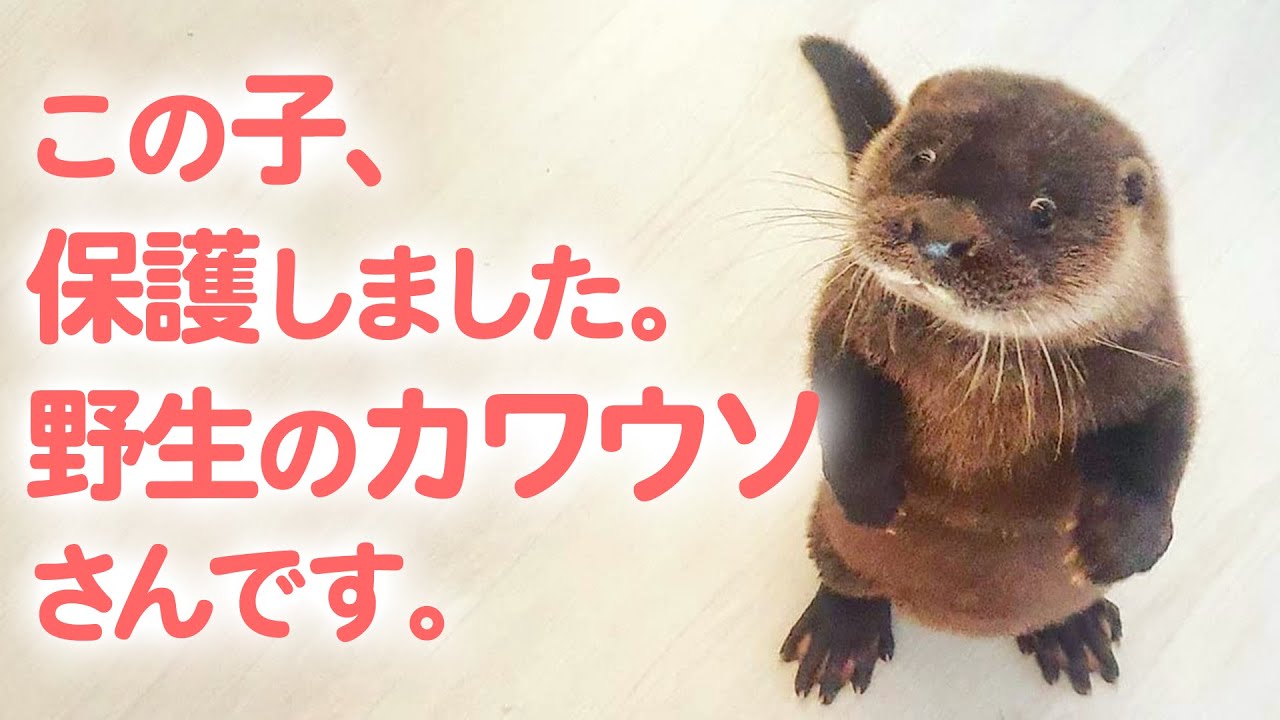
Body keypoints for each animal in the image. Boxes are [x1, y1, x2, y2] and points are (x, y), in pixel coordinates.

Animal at [780, 37, 1197, 702]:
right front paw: (871, 494)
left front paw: (1118, 545)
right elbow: (840, 384)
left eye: (1043, 210)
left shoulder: (1154, 354)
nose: (939, 231)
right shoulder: (848, 313)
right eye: (923, 156)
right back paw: (842, 635)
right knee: (843, 574)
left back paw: (1073, 631)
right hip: (827, 536)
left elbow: (1163, 440)